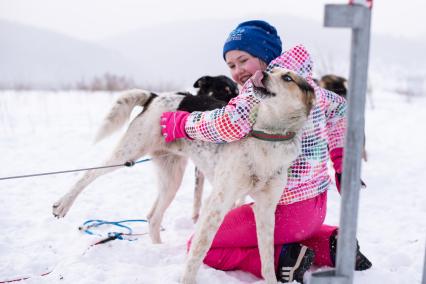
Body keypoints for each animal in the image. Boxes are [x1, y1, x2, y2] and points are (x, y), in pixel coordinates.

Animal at [51, 69, 314, 284]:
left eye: (287, 77)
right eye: (272, 69)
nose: (262, 73)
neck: (268, 136)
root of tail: (156, 96)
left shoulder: (265, 209)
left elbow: (267, 258)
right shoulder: (217, 203)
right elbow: (199, 248)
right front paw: (187, 279)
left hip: (172, 178)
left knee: (153, 217)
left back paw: (158, 249)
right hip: (128, 153)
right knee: (89, 173)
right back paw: (63, 204)